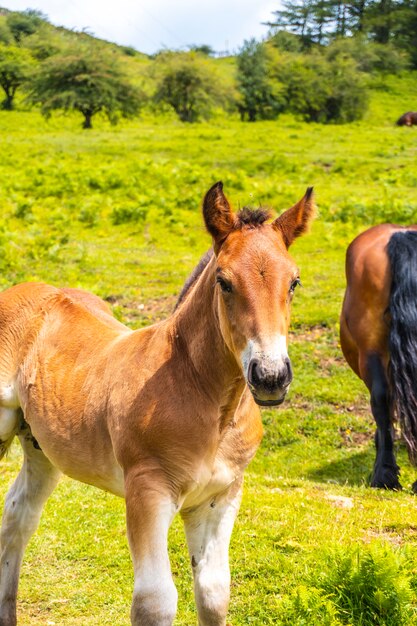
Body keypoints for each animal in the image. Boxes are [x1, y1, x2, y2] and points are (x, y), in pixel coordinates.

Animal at [0, 182, 314, 624]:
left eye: (294, 282)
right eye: (224, 282)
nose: (270, 376)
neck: (209, 406)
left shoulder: (220, 496)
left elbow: (214, 592)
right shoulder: (148, 491)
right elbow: (155, 600)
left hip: (40, 446)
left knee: (19, 516)